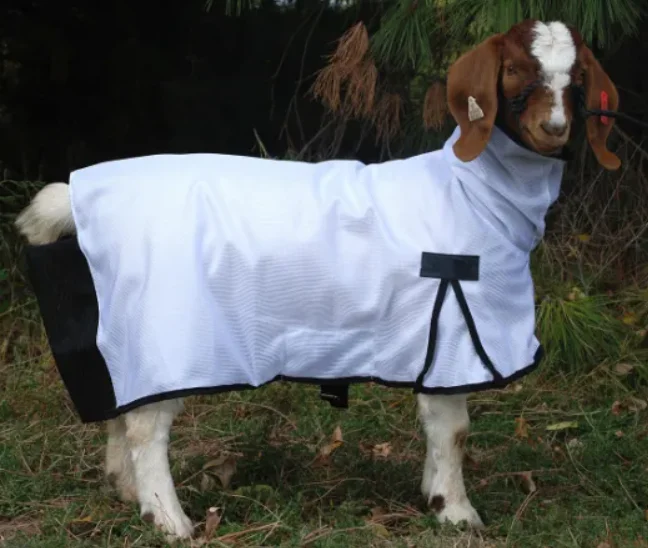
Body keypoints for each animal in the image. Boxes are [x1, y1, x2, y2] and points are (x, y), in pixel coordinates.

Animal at [15, 19, 620, 539]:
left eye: (578, 78)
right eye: (515, 69)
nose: (553, 129)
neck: (469, 191)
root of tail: (77, 197)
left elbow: (439, 428)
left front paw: (432, 494)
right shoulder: (451, 335)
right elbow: (453, 429)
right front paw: (457, 512)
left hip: (122, 338)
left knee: (120, 412)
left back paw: (127, 493)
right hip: (167, 332)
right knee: (145, 428)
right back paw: (170, 519)